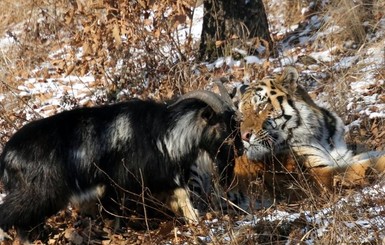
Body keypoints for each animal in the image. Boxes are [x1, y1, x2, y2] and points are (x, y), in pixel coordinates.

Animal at [0, 89, 242, 240]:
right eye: (224, 128)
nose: (239, 150)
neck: (163, 132)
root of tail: (6, 156)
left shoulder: (160, 179)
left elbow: (184, 201)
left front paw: (196, 224)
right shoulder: (119, 183)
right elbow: (117, 215)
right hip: (37, 193)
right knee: (10, 216)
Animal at [232, 66, 384, 202]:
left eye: (261, 106)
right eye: (242, 115)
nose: (244, 136)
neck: (320, 133)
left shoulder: (342, 156)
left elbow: (370, 155)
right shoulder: (318, 175)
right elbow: (365, 166)